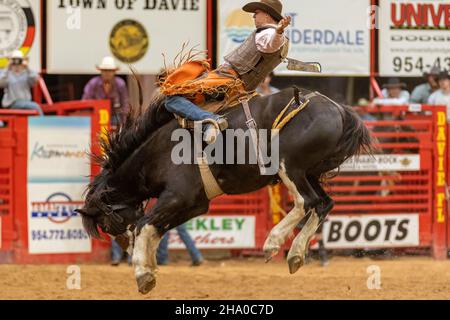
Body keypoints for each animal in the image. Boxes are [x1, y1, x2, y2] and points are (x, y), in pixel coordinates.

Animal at [76, 85, 372, 296]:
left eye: (108, 223)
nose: (125, 251)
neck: (156, 152)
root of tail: (340, 110)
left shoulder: (177, 196)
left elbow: (144, 225)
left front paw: (142, 272)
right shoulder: (194, 203)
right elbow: (155, 228)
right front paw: (147, 270)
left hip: (289, 165)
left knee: (305, 201)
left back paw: (272, 242)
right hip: (309, 173)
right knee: (323, 204)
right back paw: (295, 254)